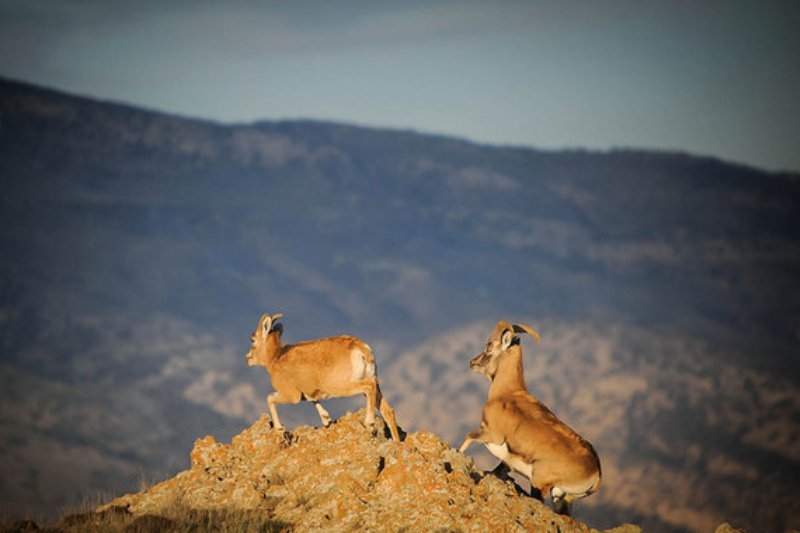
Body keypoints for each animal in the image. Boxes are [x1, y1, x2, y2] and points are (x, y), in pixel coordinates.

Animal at [245, 312, 400, 440]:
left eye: (253, 339)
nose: (248, 358)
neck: (276, 358)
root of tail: (362, 349)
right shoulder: (309, 392)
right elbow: (314, 399)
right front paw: (326, 419)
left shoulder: (291, 395)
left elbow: (270, 398)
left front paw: (279, 428)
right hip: (374, 381)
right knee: (388, 411)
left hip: (343, 386)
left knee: (368, 387)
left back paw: (369, 423)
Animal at [460, 320, 596, 516]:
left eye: (489, 347)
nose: (472, 362)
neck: (508, 392)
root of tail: (595, 474)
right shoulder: (506, 464)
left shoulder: (492, 435)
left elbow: (469, 436)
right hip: (562, 498)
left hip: (540, 483)